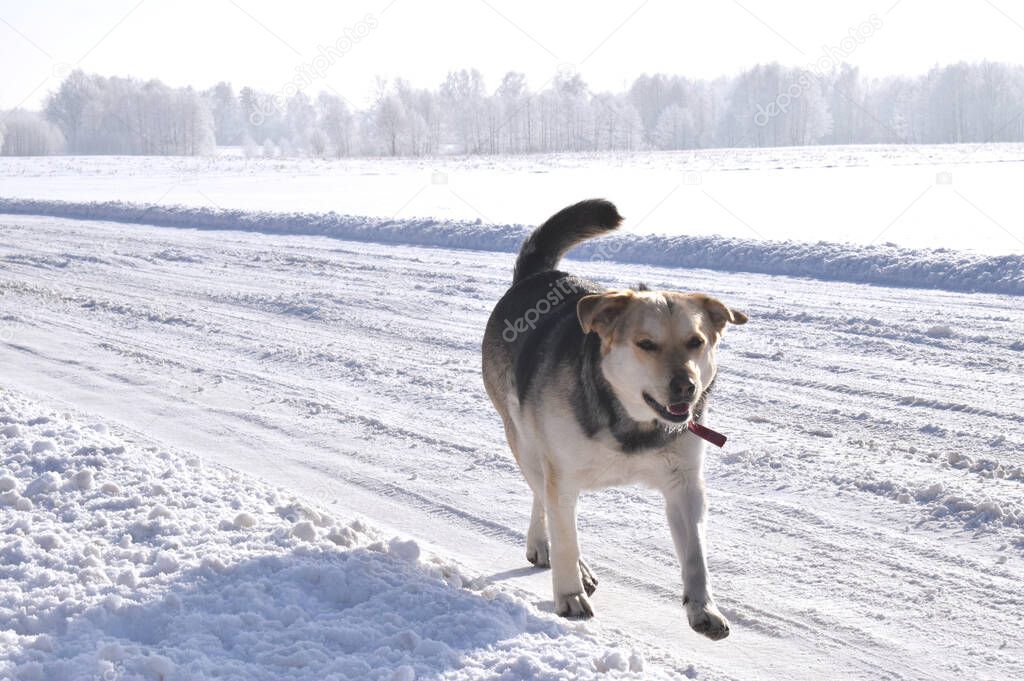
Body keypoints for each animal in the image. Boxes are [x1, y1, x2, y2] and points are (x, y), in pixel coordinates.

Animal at [479, 196, 745, 639]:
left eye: (696, 342)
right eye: (646, 344)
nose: (686, 386)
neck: (631, 423)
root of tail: (538, 276)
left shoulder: (684, 485)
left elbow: (695, 555)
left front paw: (703, 608)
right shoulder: (561, 475)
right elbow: (565, 535)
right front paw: (569, 594)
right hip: (524, 440)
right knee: (541, 497)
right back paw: (549, 550)